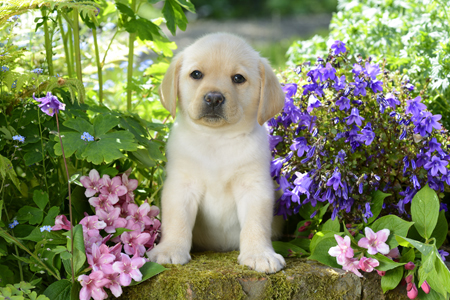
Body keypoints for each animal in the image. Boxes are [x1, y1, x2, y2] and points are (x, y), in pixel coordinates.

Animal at [149, 32, 286, 274]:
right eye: (196, 74)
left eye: (238, 78)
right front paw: (170, 248)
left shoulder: (254, 187)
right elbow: (177, 221)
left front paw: (259, 254)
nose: (214, 98)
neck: (217, 139)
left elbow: (256, 224)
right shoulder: (180, 186)